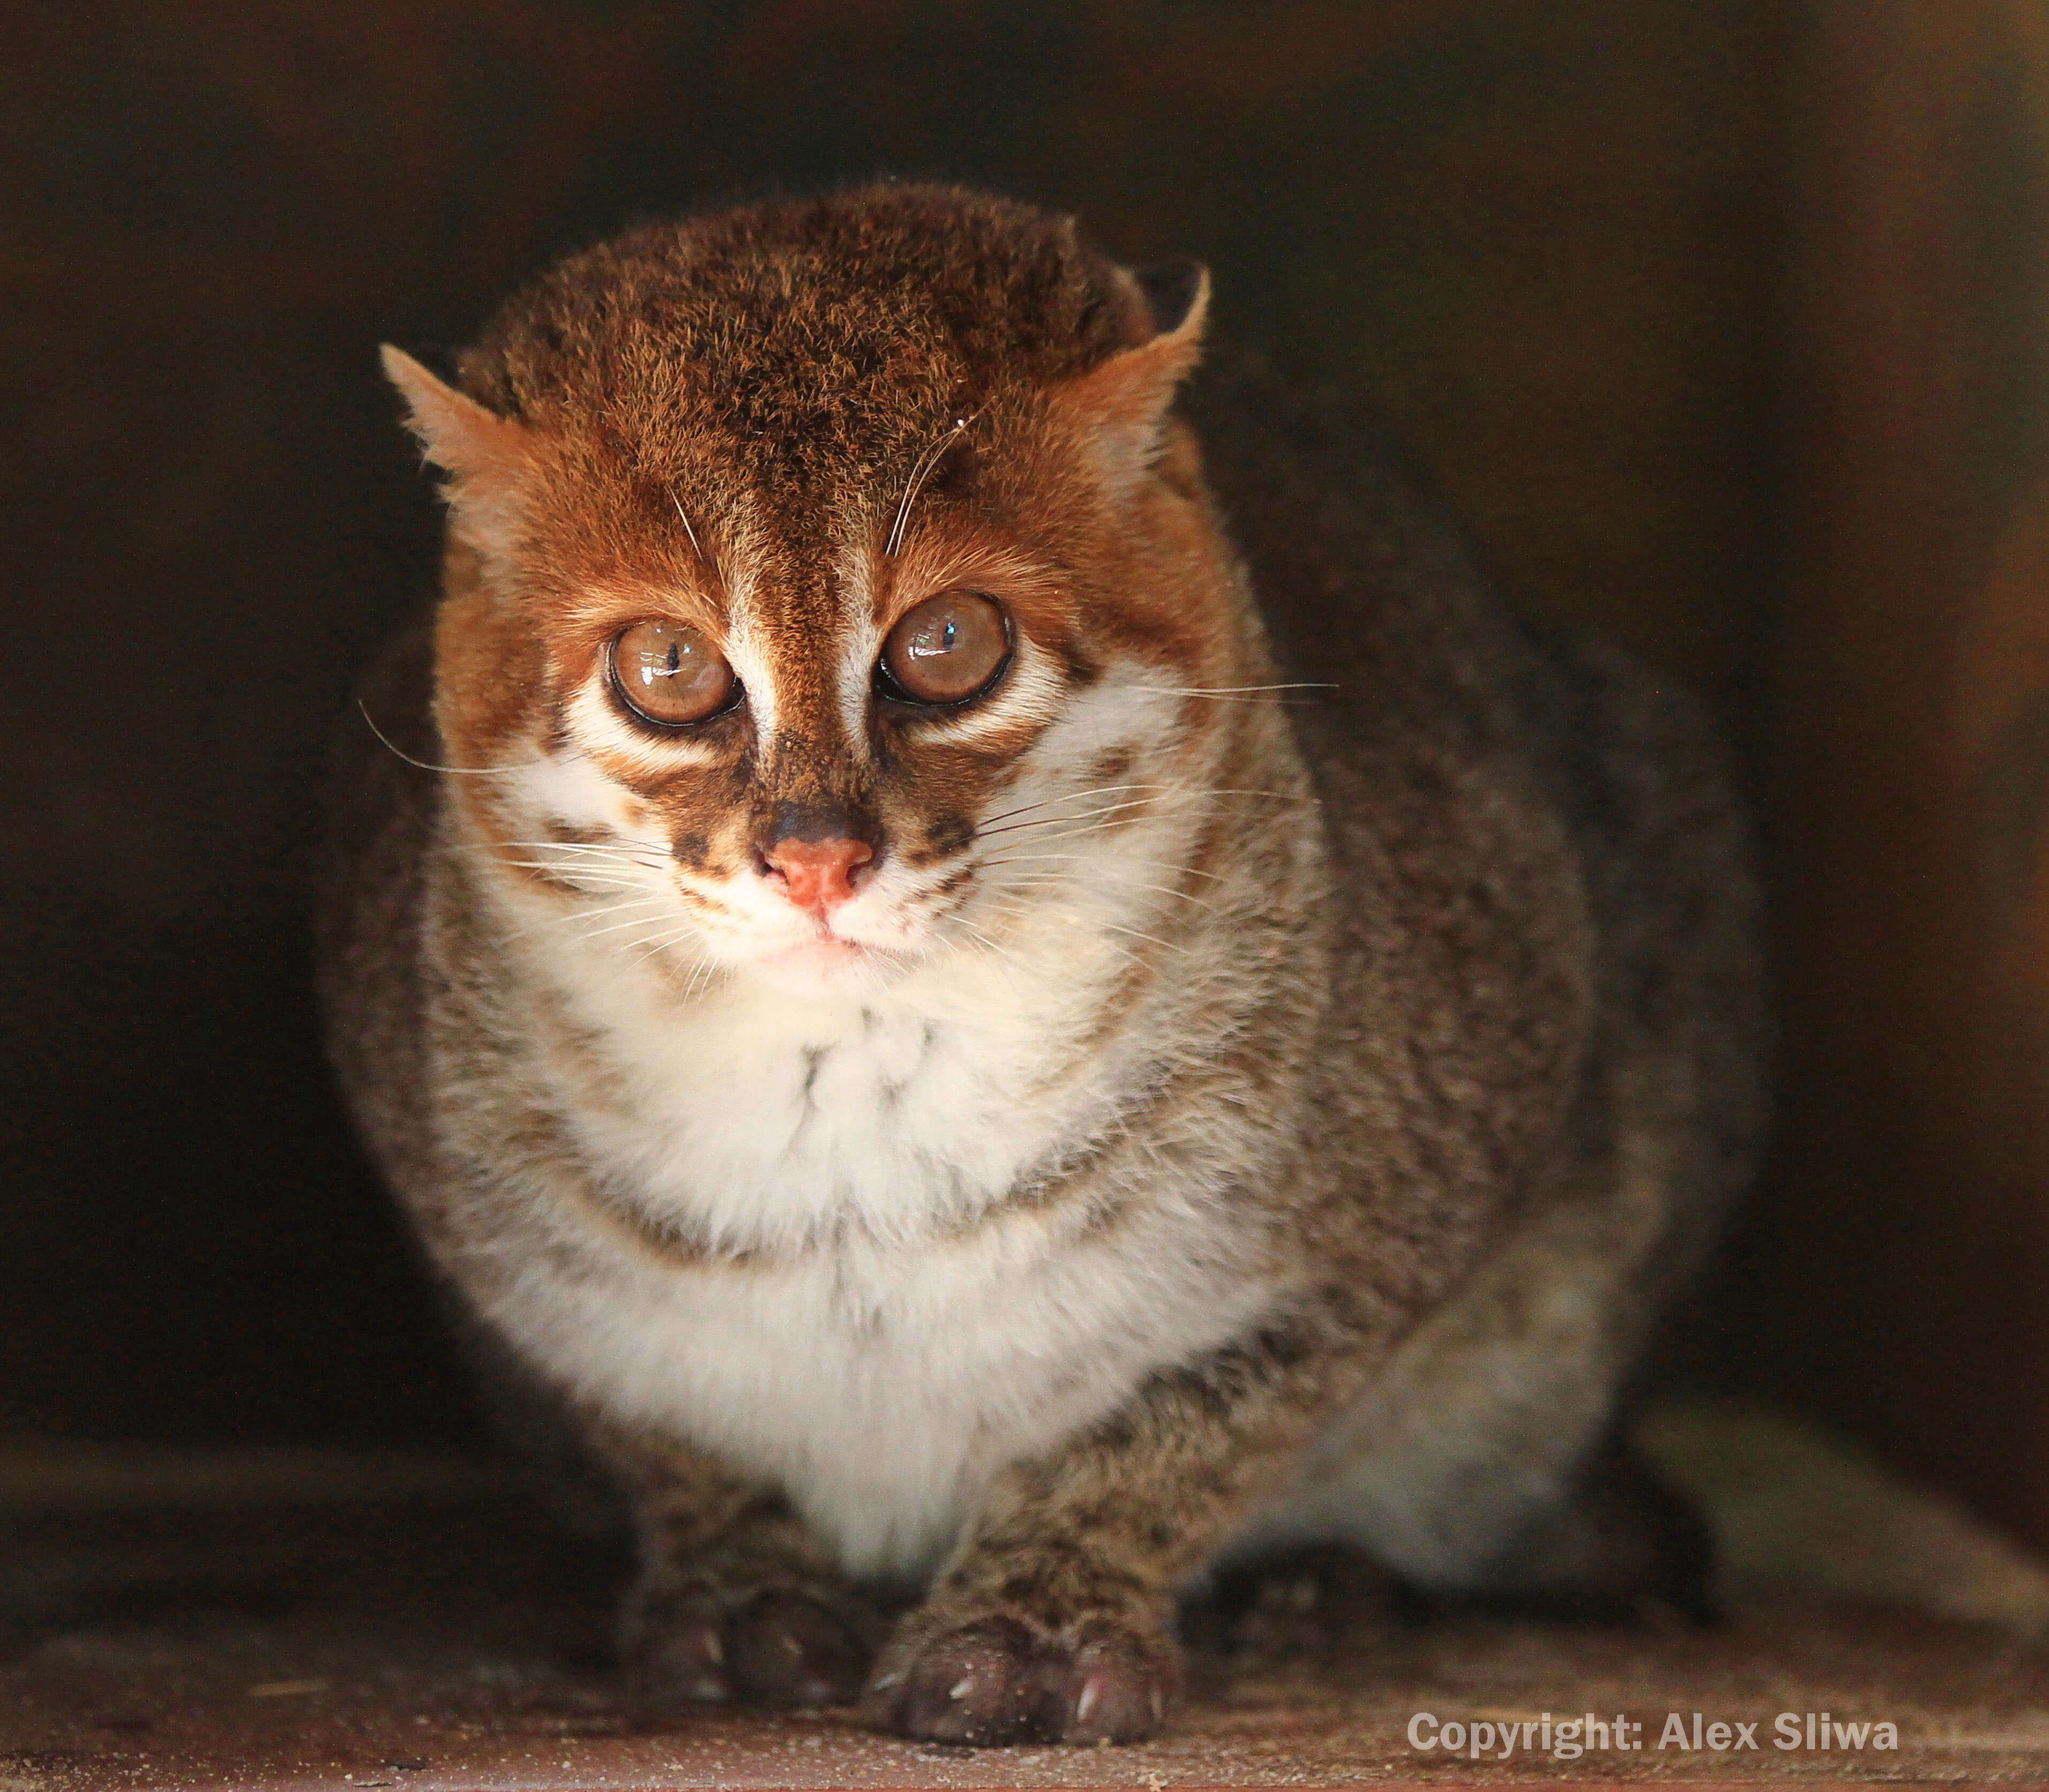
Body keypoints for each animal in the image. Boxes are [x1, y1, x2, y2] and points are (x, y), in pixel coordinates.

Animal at [315, 179, 1762, 1736]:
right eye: (667, 668)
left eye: (948, 640)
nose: (815, 856)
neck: (850, 1096)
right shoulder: (461, 1187)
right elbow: (650, 1425)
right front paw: (733, 1580)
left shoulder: (1460, 1107)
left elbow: (1207, 1408)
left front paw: (1042, 1608)